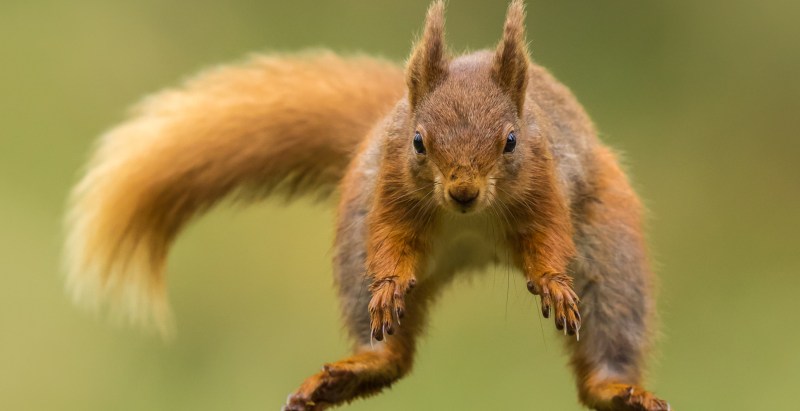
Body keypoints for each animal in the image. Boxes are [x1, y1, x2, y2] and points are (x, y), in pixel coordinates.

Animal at [64, 1, 671, 410]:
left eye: (511, 142)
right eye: (418, 141)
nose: (463, 192)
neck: (470, 219)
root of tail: (473, 251)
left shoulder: (546, 184)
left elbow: (548, 236)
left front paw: (551, 281)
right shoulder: (388, 190)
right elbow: (390, 238)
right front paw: (388, 284)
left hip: (611, 258)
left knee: (606, 345)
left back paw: (618, 388)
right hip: (353, 242)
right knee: (391, 353)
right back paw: (355, 366)